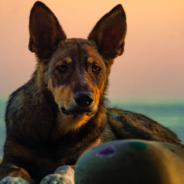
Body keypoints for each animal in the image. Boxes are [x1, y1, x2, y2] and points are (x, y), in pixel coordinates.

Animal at [0, 1, 184, 184]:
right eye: (62, 68)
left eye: (95, 68)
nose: (84, 99)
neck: (58, 131)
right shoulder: (11, 158)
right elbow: (15, 169)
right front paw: (13, 179)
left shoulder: (89, 156)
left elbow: (68, 166)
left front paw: (58, 177)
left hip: (122, 120)